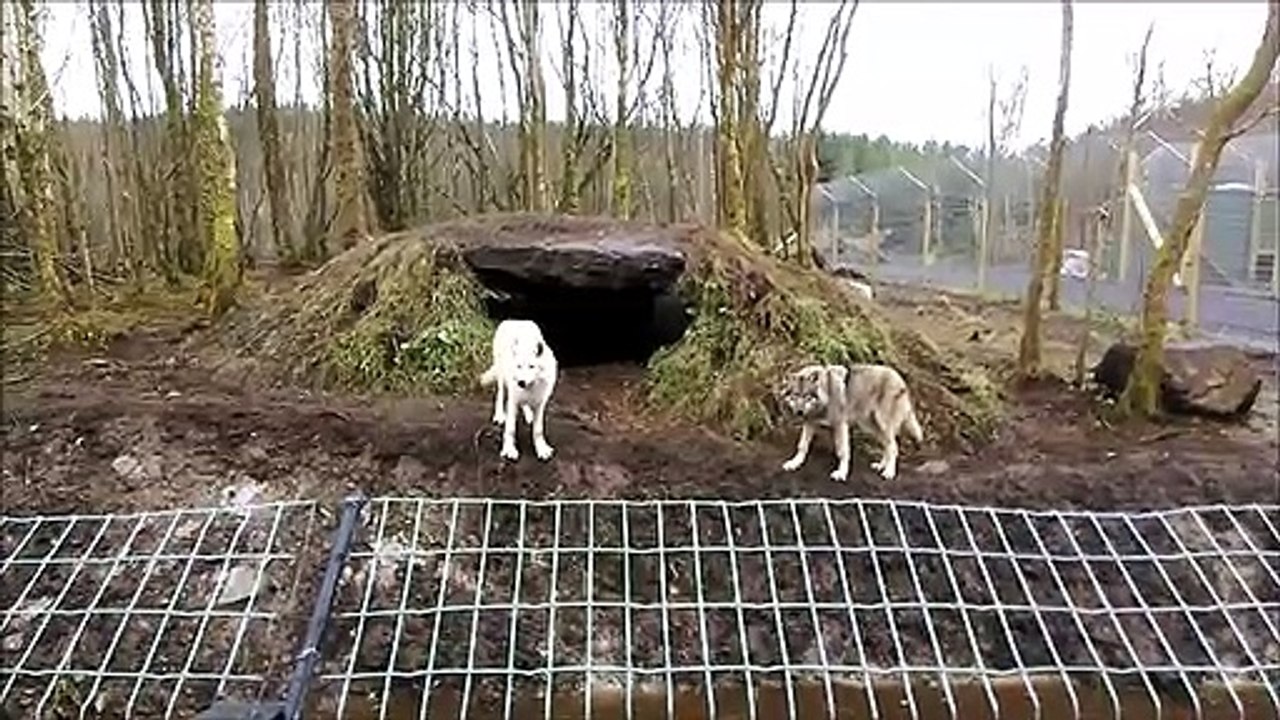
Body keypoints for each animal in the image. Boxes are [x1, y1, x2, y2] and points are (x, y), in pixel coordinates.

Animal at [479, 319, 558, 462]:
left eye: (531, 366)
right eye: (519, 366)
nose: (521, 382)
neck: (531, 388)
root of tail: (513, 320)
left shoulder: (540, 403)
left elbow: (538, 430)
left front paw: (542, 449)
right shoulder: (513, 400)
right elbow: (510, 429)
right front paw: (509, 450)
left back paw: (528, 415)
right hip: (501, 375)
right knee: (500, 394)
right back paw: (499, 415)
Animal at [776, 363, 924, 481]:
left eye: (806, 396)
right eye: (795, 395)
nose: (799, 412)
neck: (826, 392)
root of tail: (900, 379)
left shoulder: (840, 425)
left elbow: (843, 452)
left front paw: (841, 473)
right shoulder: (809, 423)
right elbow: (802, 446)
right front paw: (794, 463)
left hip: (883, 425)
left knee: (894, 447)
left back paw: (889, 472)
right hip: (871, 428)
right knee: (888, 446)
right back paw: (881, 466)